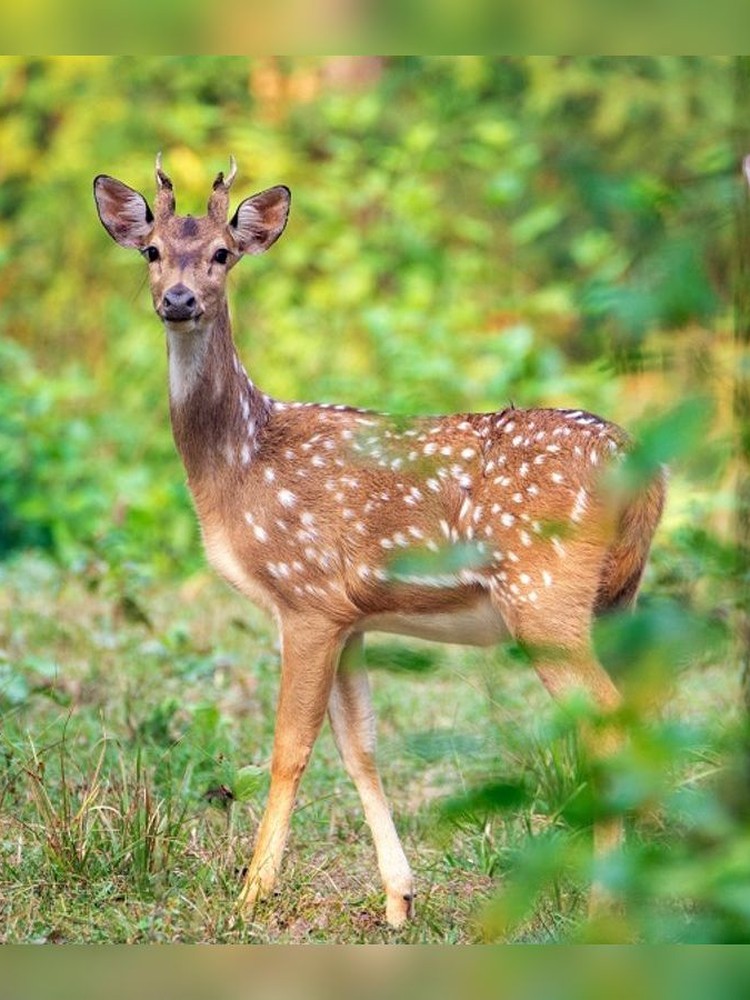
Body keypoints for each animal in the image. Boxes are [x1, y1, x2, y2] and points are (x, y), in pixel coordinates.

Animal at [93, 155, 666, 929]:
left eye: (222, 254)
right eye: (151, 252)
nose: (179, 300)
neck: (240, 462)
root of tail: (645, 465)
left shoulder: (305, 594)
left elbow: (290, 747)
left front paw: (251, 892)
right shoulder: (351, 614)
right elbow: (360, 745)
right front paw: (399, 897)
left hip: (544, 595)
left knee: (608, 727)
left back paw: (607, 905)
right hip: (618, 597)